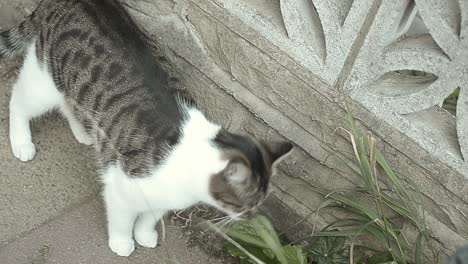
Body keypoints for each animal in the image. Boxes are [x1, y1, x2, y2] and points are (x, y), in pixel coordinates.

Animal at [0, 0, 292, 256]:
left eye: (262, 199)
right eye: (247, 201)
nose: (252, 216)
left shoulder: (163, 197)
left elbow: (150, 216)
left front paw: (145, 235)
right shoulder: (120, 185)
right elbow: (123, 218)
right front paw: (122, 242)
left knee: (69, 101)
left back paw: (83, 132)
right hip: (43, 79)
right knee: (19, 100)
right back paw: (22, 142)